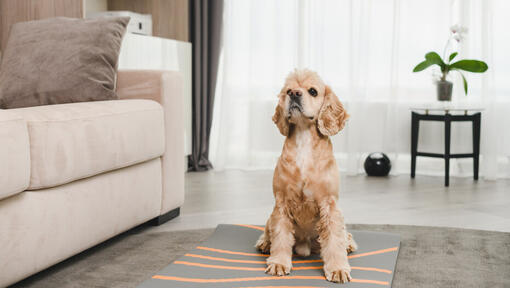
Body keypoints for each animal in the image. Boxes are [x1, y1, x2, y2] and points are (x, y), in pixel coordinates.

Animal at [255, 70, 358, 284]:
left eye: (313, 91)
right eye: (288, 90)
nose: (294, 93)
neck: (304, 140)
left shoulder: (329, 205)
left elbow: (334, 240)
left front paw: (338, 269)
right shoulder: (281, 203)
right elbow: (280, 236)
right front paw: (279, 263)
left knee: (344, 235)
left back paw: (348, 244)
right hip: (271, 216)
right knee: (269, 230)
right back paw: (265, 243)